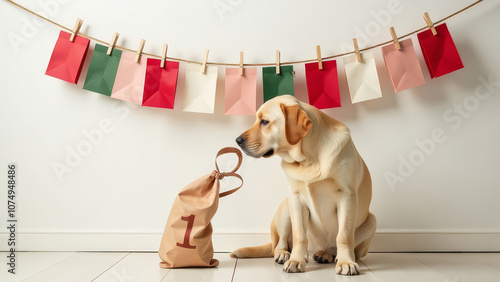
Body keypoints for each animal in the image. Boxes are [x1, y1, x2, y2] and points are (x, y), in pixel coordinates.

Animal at [230, 95, 376, 276]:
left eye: (264, 122)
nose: (238, 141)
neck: (308, 158)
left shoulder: (346, 196)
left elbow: (344, 235)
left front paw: (346, 262)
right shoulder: (296, 198)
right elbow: (300, 235)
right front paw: (296, 260)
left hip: (372, 220)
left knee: (337, 246)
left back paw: (326, 254)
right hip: (286, 206)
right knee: (278, 244)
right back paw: (285, 254)